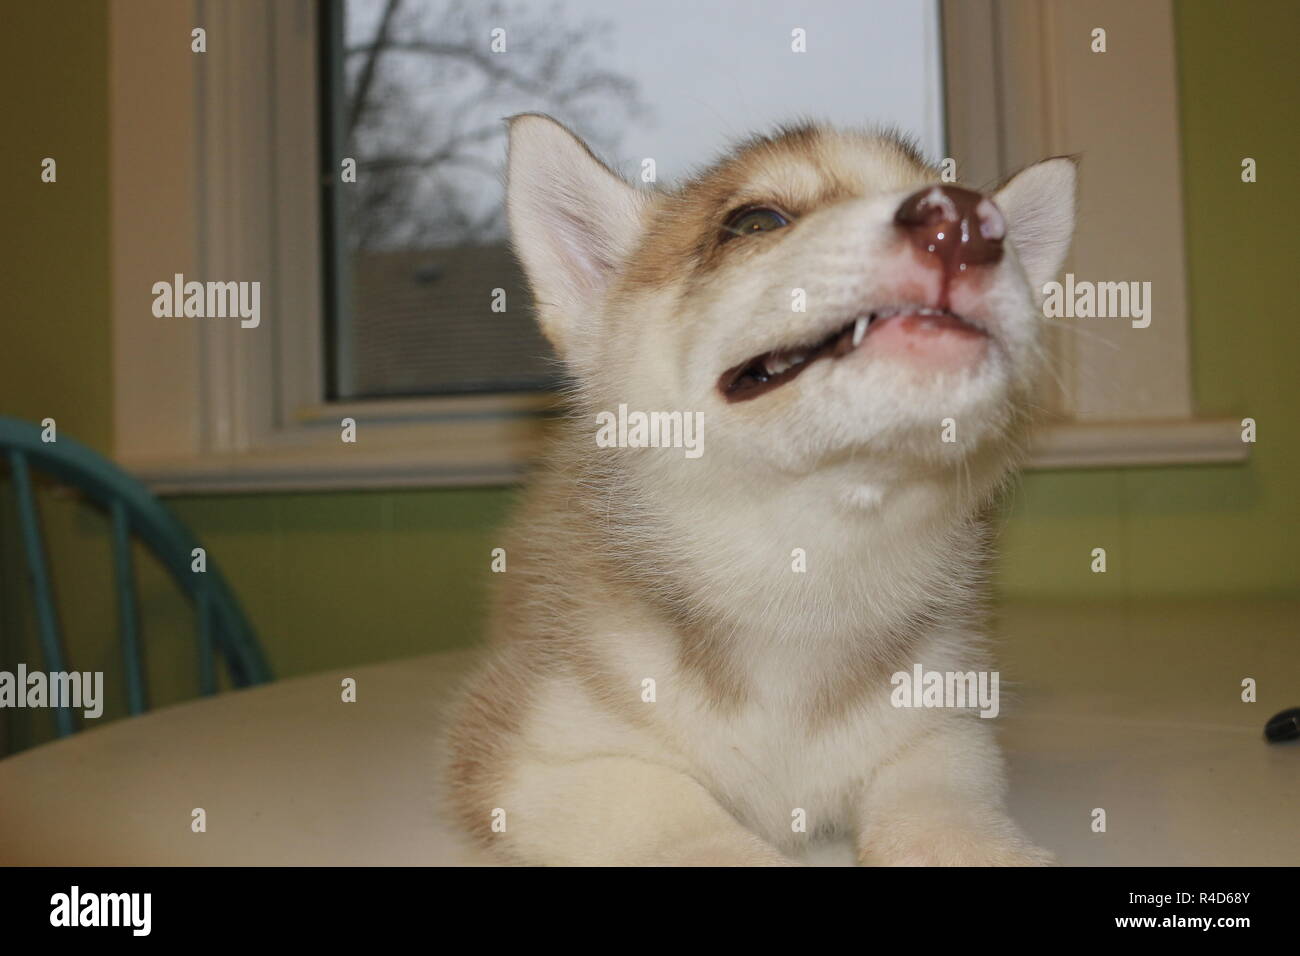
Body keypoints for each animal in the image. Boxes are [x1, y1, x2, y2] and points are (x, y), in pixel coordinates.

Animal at [447, 113, 1076, 868]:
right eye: (755, 221)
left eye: (979, 205)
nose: (964, 221)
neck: (805, 564)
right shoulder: (530, 752)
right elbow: (686, 821)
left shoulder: (944, 730)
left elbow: (942, 810)